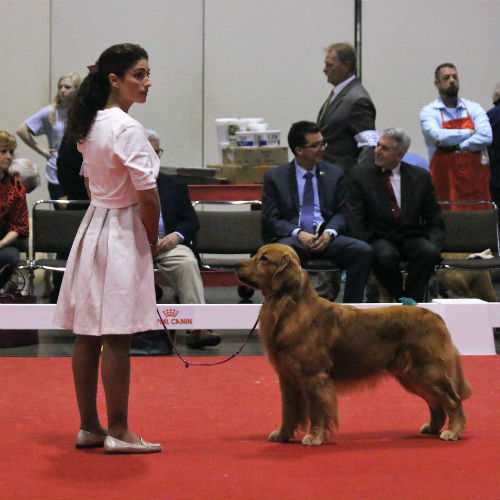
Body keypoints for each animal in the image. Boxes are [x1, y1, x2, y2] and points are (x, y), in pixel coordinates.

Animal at [236, 244, 470, 444]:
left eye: (264, 258)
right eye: (257, 254)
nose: (237, 265)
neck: (289, 307)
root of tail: (435, 315)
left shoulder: (315, 376)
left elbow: (317, 410)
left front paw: (314, 436)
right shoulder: (287, 377)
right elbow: (289, 410)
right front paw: (283, 435)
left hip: (427, 370)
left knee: (452, 399)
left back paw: (453, 431)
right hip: (410, 375)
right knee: (435, 402)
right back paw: (433, 427)